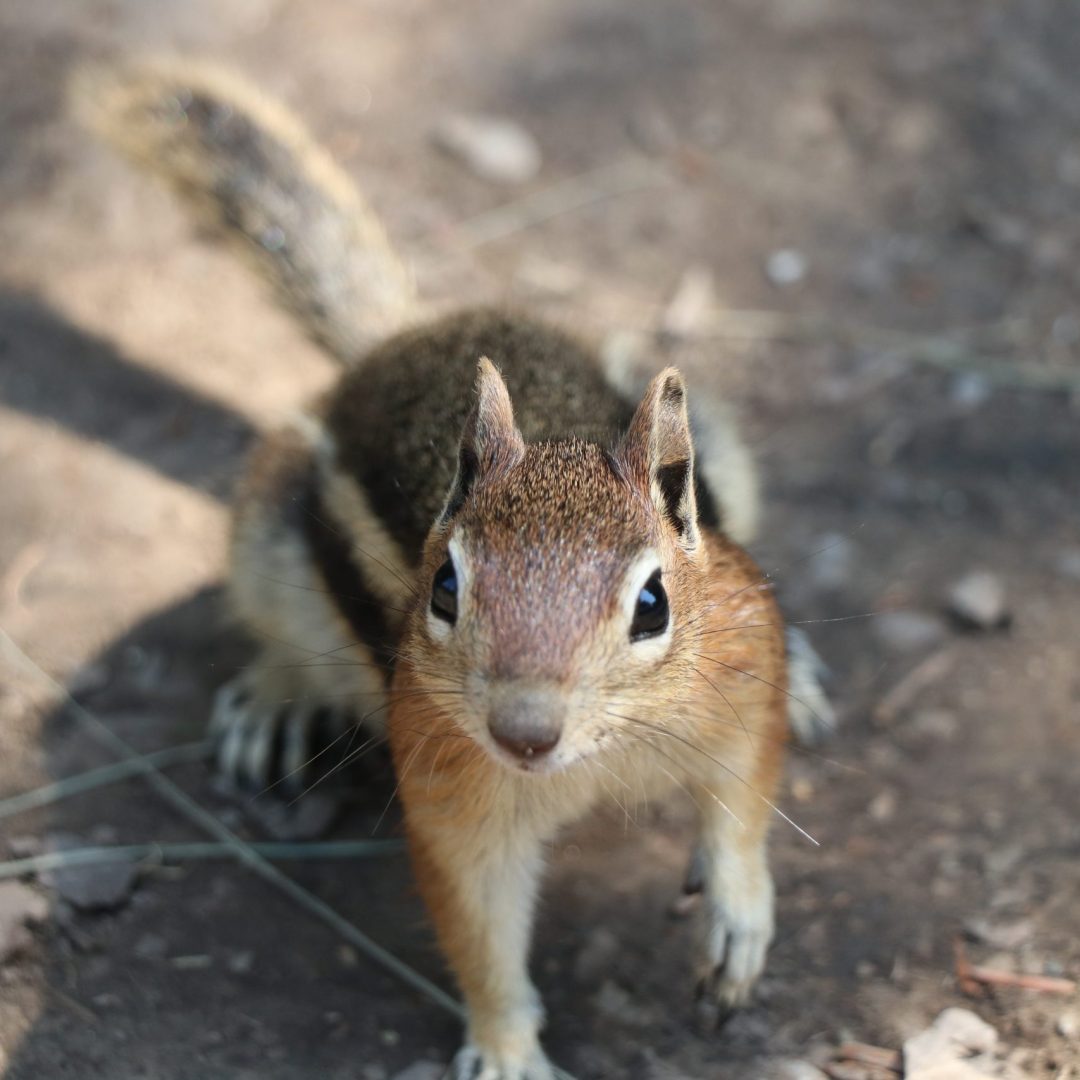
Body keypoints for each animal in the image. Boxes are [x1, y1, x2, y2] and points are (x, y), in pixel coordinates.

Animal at [79, 59, 834, 1080]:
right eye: (445, 589)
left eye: (653, 604)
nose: (524, 732)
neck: (602, 756)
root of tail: (396, 339)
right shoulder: (450, 778)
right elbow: (478, 922)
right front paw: (508, 1047)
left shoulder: (740, 668)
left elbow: (745, 802)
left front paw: (739, 913)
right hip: (264, 531)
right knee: (279, 628)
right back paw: (275, 699)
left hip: (724, 450)